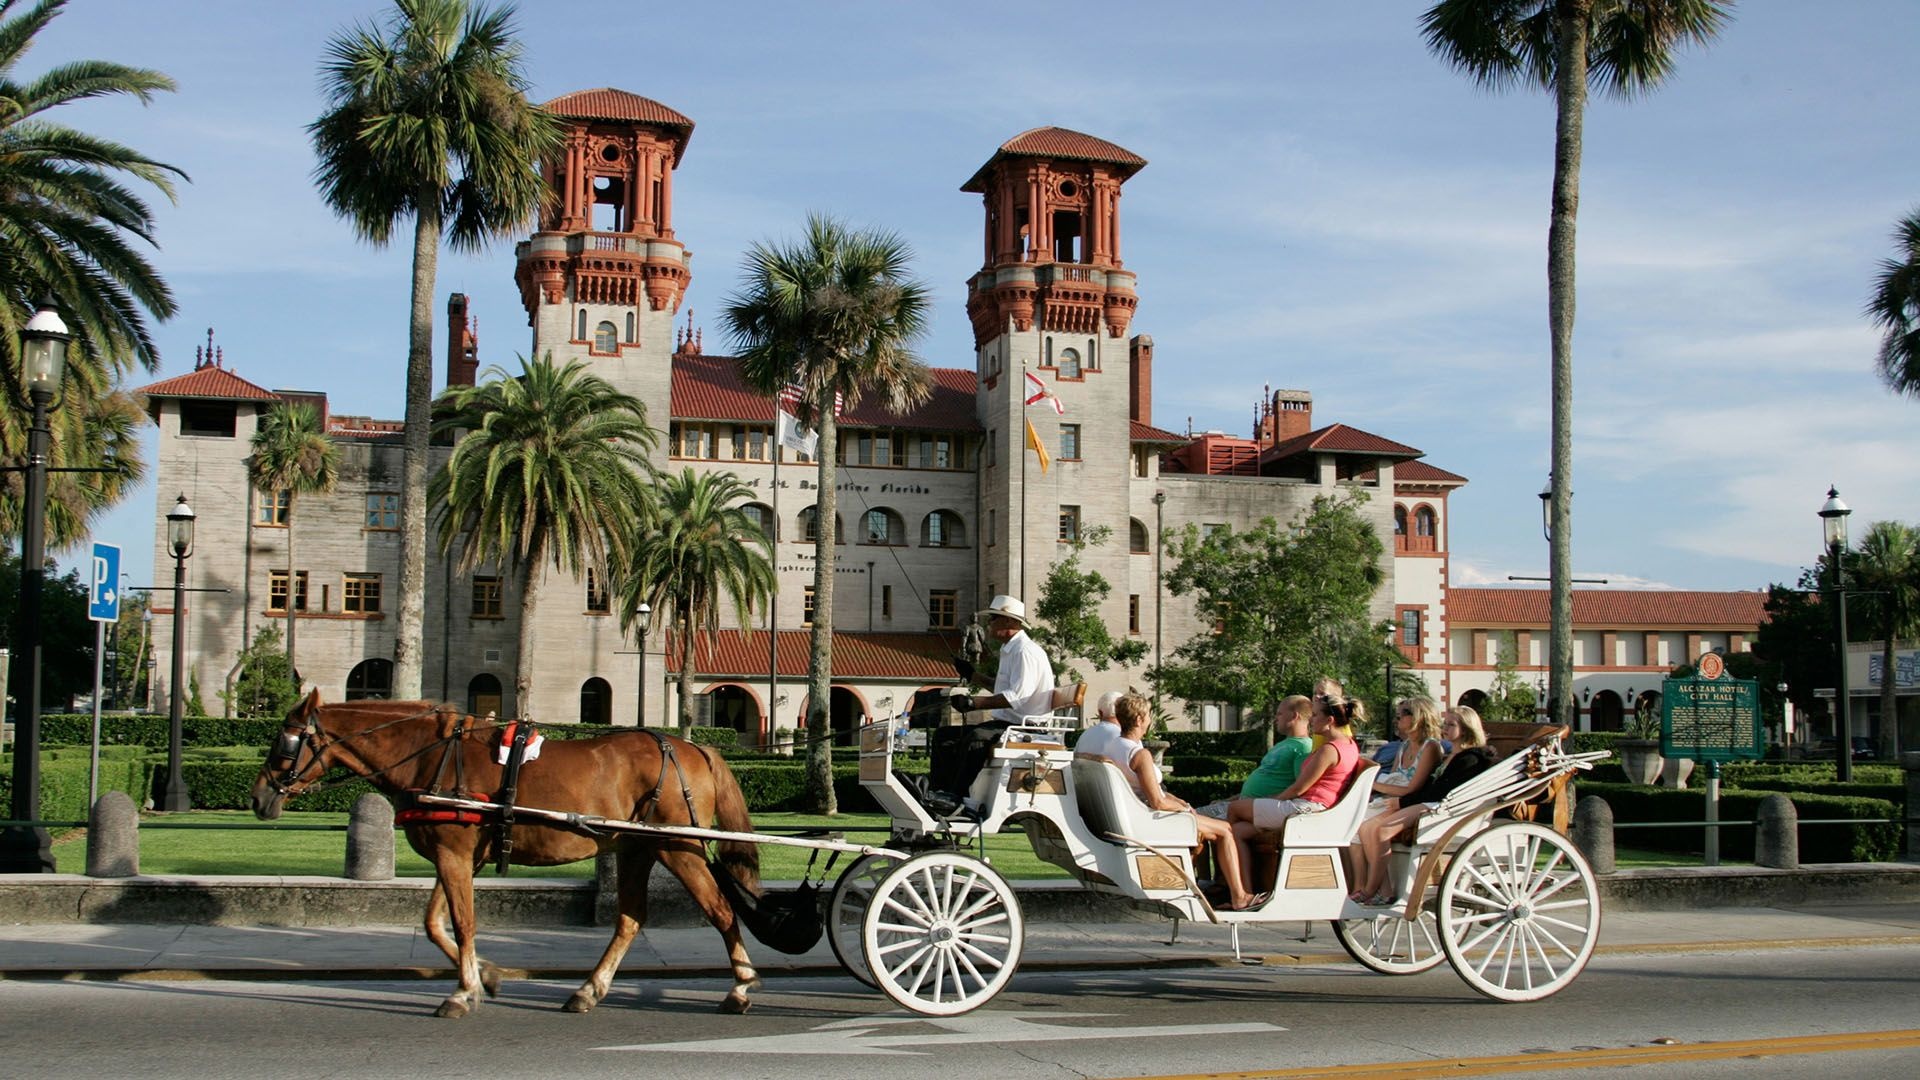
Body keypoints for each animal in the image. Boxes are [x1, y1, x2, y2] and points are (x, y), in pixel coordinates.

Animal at [247, 687, 764, 1014]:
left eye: (285, 743)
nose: (258, 797)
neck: (431, 755)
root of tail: (693, 749)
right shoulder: (458, 857)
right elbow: (434, 923)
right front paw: (485, 975)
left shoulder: (455, 854)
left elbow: (462, 922)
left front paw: (462, 991)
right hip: (637, 847)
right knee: (630, 919)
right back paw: (589, 990)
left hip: (677, 846)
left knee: (721, 911)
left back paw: (740, 987)